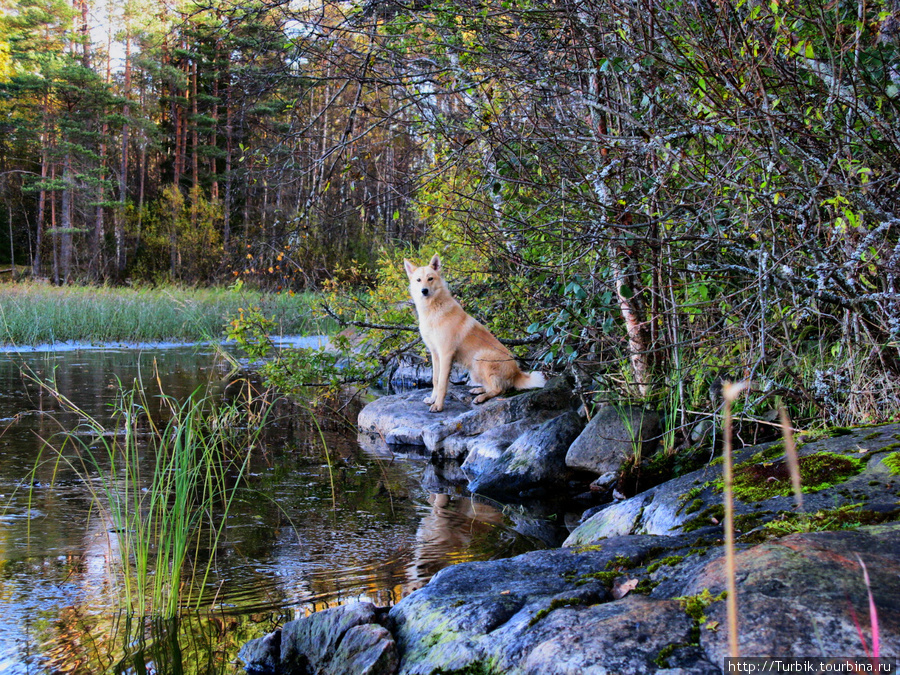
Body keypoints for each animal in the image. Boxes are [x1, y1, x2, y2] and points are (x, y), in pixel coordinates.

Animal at [404, 254, 544, 412]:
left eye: (430, 278)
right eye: (418, 280)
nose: (424, 291)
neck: (433, 309)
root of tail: (517, 373)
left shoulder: (446, 354)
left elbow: (442, 384)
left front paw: (438, 405)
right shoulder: (435, 353)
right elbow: (435, 379)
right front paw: (433, 399)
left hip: (480, 358)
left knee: (500, 389)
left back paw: (482, 397)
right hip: (473, 368)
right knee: (495, 386)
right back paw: (479, 390)